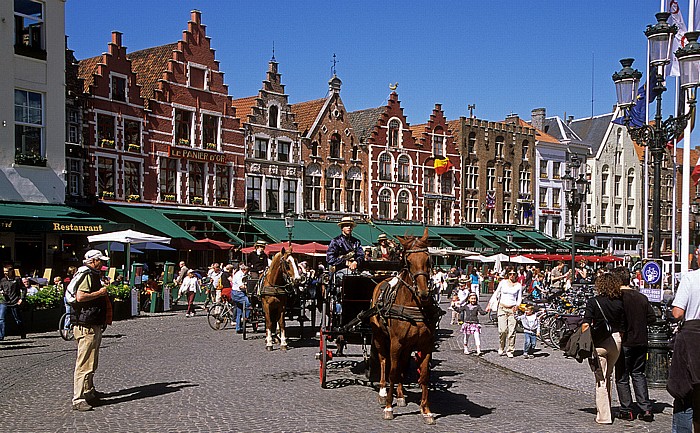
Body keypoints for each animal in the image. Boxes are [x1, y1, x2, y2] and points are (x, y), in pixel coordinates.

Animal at [370, 228, 440, 424]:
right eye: (408, 261)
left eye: (428, 259)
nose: (424, 293)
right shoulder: (396, 343)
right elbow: (392, 372)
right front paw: (388, 407)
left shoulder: (426, 344)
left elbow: (423, 376)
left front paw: (426, 410)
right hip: (380, 337)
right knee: (384, 362)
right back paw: (383, 392)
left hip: (407, 346)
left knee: (401, 365)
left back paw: (400, 395)